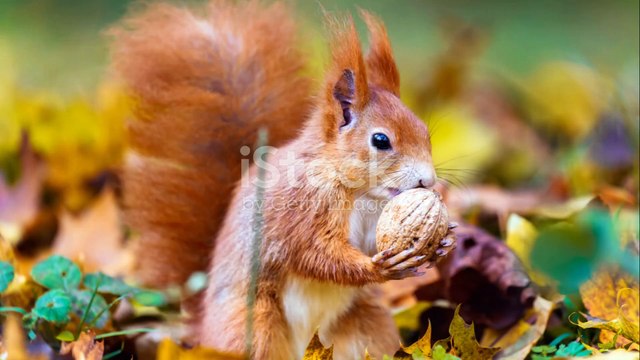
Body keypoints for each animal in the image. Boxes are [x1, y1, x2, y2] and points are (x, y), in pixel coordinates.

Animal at [112, 1, 458, 358]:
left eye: (424, 130)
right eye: (380, 140)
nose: (428, 181)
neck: (361, 193)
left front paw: (443, 243)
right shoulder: (300, 209)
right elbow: (316, 254)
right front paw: (379, 269)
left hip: (367, 327)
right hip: (255, 326)